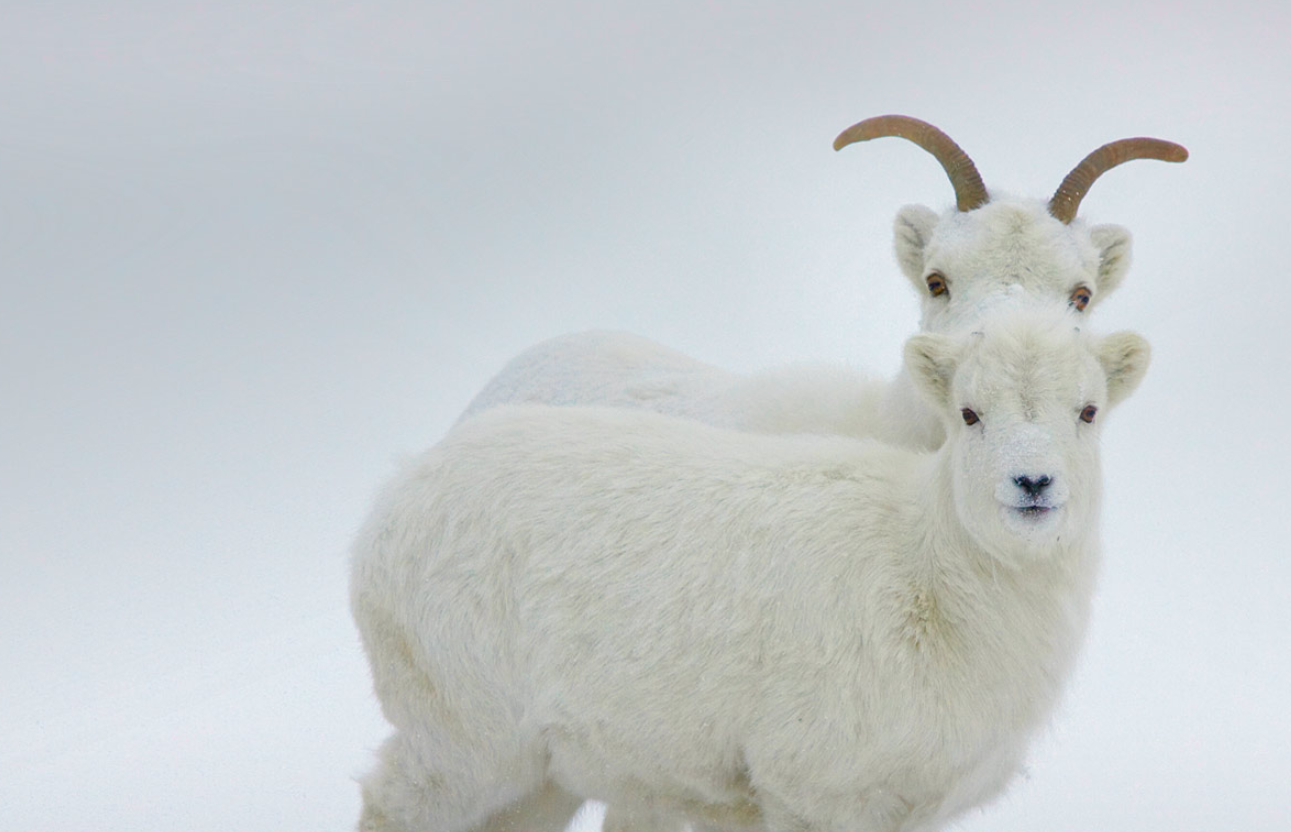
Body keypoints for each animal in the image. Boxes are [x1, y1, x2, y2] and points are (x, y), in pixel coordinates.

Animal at [345, 307, 1151, 832]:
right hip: (462, 735)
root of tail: (396, 492)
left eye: (1087, 411)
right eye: (969, 413)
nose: (1032, 483)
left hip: (535, 770)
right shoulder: (813, 790)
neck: (927, 572)